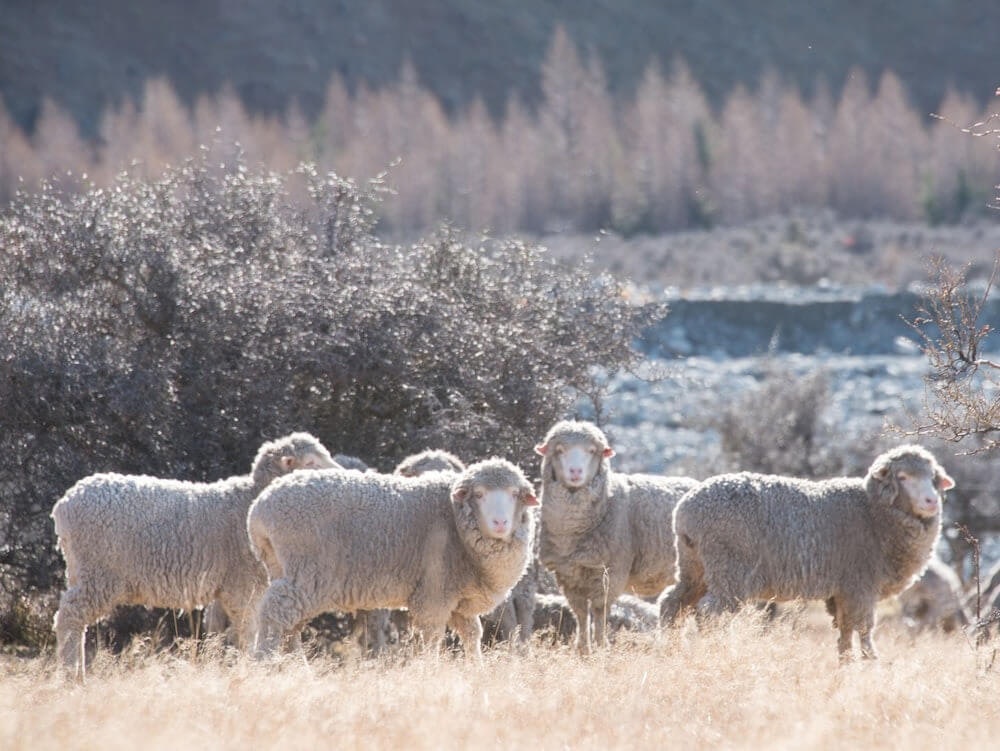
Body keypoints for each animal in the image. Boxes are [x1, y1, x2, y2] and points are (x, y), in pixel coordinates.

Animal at [50, 432, 336, 680]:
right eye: (310, 462)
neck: (247, 499)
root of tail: (65, 504)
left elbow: (226, 630)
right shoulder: (243, 586)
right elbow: (249, 632)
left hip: (80, 572)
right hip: (98, 575)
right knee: (70, 616)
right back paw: (72, 676)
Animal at [247, 458, 540, 656]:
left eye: (515, 494)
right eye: (479, 494)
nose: (500, 523)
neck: (455, 521)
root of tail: (259, 508)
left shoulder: (458, 599)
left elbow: (472, 635)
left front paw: (475, 669)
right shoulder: (434, 592)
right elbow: (432, 637)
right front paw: (430, 671)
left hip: (282, 568)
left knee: (289, 627)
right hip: (305, 573)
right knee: (273, 615)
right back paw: (264, 663)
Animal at [536, 420, 700, 656]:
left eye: (591, 451)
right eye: (559, 450)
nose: (575, 471)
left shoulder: (612, 573)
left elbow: (599, 610)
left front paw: (600, 647)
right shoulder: (568, 575)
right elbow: (580, 613)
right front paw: (582, 650)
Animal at [660, 444, 956, 660]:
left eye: (933, 479)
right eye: (903, 477)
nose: (931, 501)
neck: (873, 512)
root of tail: (685, 509)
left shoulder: (842, 591)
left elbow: (845, 630)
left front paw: (846, 665)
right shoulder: (860, 584)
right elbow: (863, 628)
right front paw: (872, 663)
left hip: (694, 566)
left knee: (672, 603)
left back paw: (671, 650)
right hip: (729, 569)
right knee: (709, 612)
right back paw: (716, 653)